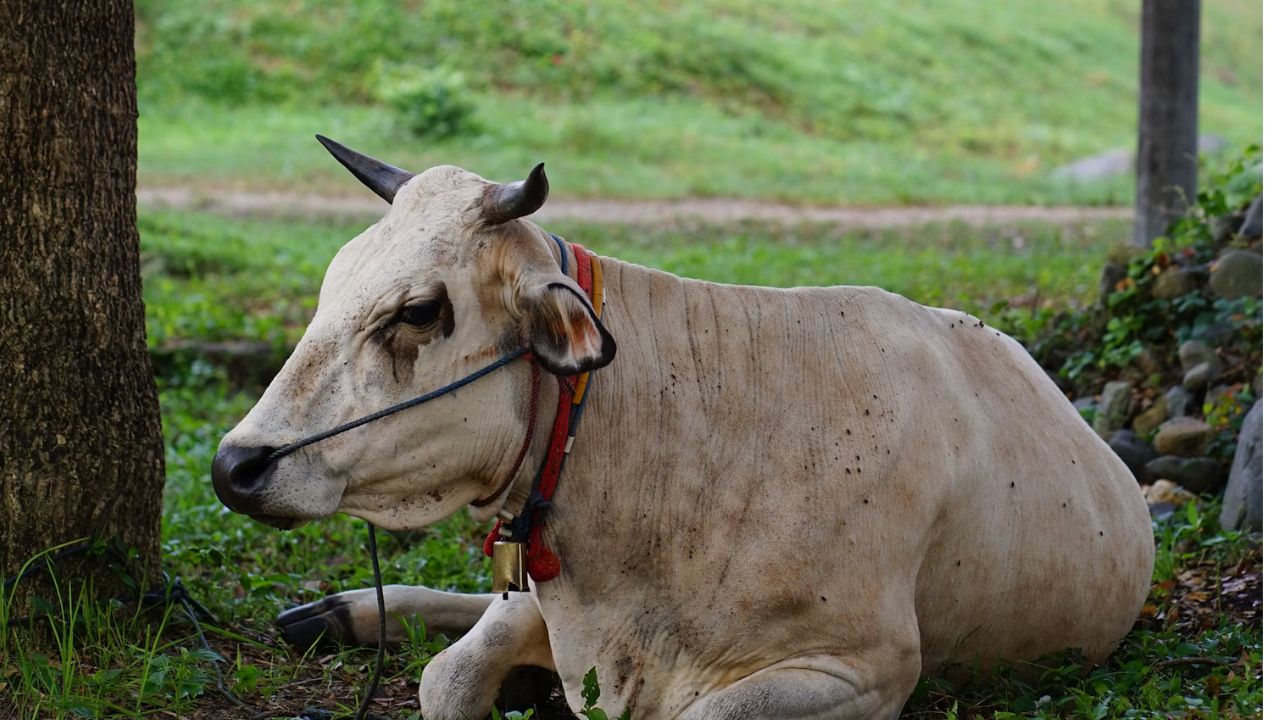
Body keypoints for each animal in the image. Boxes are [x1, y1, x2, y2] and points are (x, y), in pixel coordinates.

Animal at [215, 137, 1157, 712]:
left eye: (417, 311)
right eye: (334, 279)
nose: (236, 465)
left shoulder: (863, 669)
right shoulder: (554, 605)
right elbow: (449, 676)